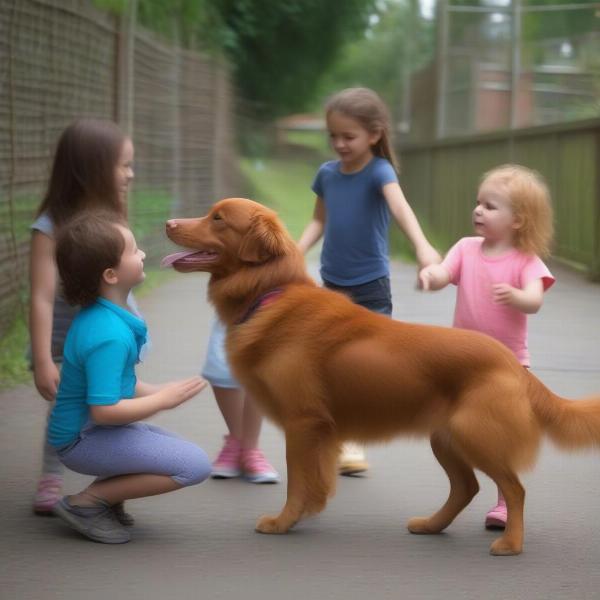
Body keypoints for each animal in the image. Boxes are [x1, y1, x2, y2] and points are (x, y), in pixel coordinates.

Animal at [165, 199, 600, 556]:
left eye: (218, 218)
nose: (168, 222)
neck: (270, 292)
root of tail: (513, 365)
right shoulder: (318, 430)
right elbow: (315, 481)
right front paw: (305, 514)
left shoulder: (303, 423)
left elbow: (298, 480)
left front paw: (283, 521)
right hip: (446, 438)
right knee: (467, 487)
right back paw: (432, 525)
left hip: (476, 435)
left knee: (514, 489)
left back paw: (510, 543)